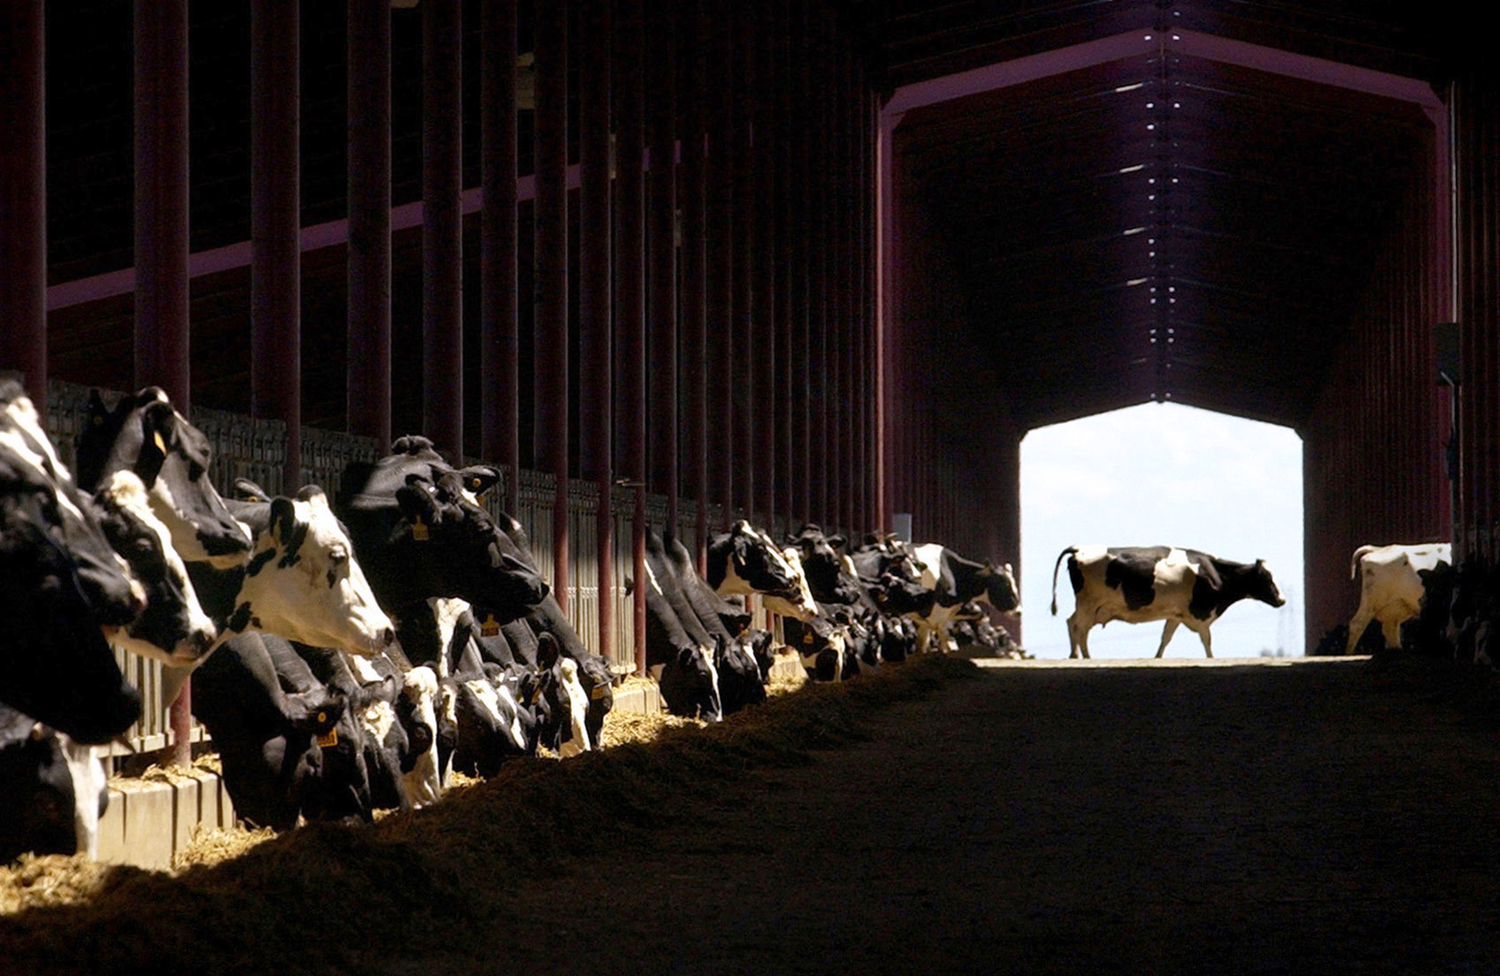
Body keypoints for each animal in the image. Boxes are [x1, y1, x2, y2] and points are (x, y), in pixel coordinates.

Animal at [1050, 545, 1284, 659]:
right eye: (1267, 578)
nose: (1282, 600)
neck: (1215, 573)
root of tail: (1079, 548)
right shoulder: (1200, 614)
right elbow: (1207, 640)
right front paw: (1211, 658)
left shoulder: (1177, 615)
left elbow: (1166, 638)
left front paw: (1157, 657)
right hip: (1088, 602)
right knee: (1078, 625)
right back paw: (1080, 655)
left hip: (1091, 606)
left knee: (1076, 625)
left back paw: (1080, 655)